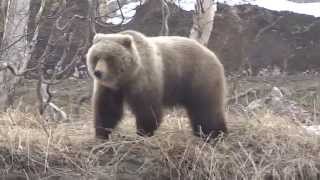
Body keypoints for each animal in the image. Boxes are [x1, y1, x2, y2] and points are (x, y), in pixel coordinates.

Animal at [86, 29, 226, 139]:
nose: (98, 72)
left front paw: (143, 132)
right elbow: (107, 108)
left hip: (199, 78)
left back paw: (214, 134)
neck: (127, 77)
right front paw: (102, 133)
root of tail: (212, 54)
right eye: (96, 57)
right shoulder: (109, 88)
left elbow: (147, 109)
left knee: (206, 109)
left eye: (110, 58)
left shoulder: (144, 78)